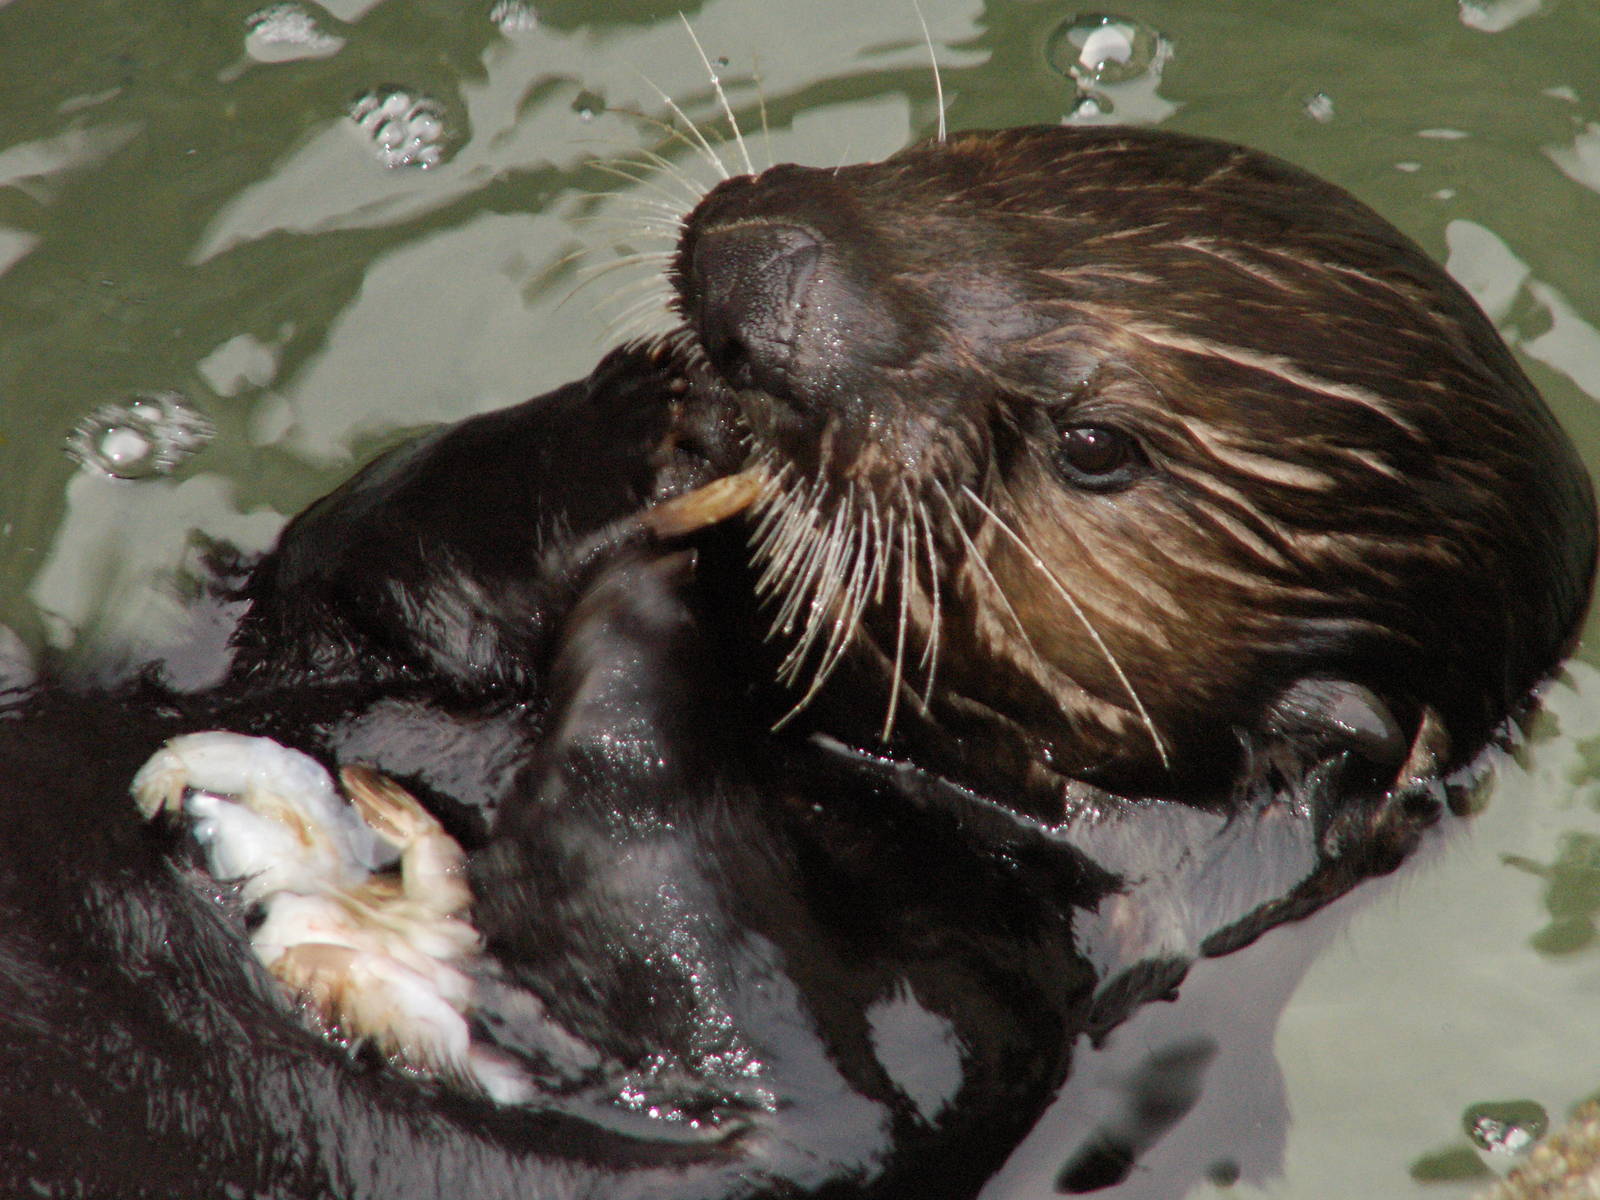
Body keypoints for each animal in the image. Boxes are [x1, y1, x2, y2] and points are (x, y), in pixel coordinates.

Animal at [0, 124, 1591, 1198]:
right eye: (965, 160)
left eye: (1094, 447)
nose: (763, 269)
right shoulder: (279, 635)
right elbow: (334, 571)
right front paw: (652, 440)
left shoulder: (990, 1020)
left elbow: (774, 1066)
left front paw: (655, 628)